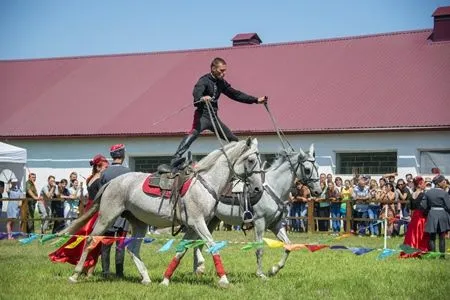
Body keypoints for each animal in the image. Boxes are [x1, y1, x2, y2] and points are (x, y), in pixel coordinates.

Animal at [59, 137, 264, 288]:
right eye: (251, 160)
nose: (258, 189)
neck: (205, 183)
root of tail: (111, 182)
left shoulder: (192, 227)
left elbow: (181, 251)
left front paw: (165, 279)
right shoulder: (198, 223)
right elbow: (212, 246)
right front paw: (223, 279)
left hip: (139, 222)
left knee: (132, 248)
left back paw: (146, 278)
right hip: (107, 217)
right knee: (91, 241)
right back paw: (75, 275)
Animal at [192, 144, 322, 278]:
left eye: (317, 167)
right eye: (307, 169)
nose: (318, 191)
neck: (273, 187)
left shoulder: (276, 225)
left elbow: (288, 245)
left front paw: (274, 269)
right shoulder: (260, 223)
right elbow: (260, 249)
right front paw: (260, 274)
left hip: (213, 220)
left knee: (199, 241)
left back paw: (198, 268)